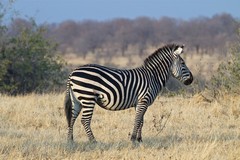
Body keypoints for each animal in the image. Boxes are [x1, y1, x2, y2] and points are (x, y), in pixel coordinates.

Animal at [64, 43, 194, 142]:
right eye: (183, 63)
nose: (192, 79)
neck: (153, 77)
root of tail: (72, 73)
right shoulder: (143, 100)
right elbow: (137, 120)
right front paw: (133, 139)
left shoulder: (139, 103)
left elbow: (141, 121)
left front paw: (139, 140)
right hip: (88, 97)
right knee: (85, 120)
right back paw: (93, 141)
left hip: (76, 99)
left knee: (72, 118)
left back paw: (70, 141)